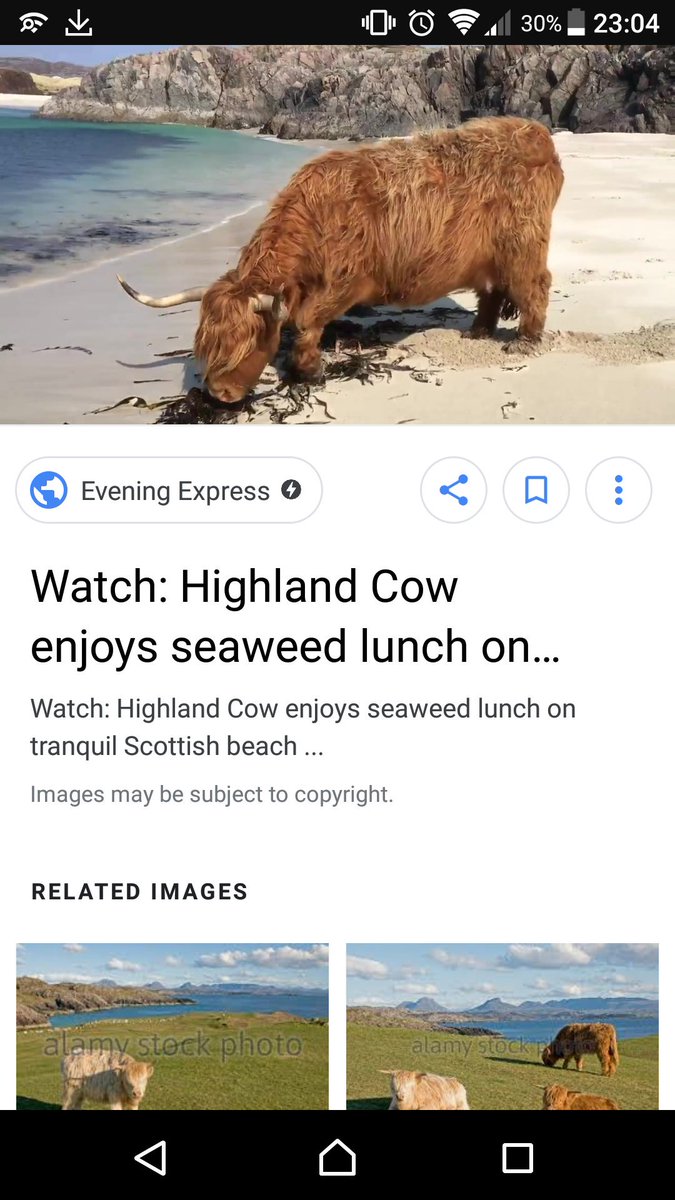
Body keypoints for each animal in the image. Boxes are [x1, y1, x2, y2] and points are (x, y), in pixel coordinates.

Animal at [118, 116, 564, 403]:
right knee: (491, 291)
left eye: (246, 345)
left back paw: (524, 342)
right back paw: (478, 333)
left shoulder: (348, 281)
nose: (220, 395)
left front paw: (309, 370)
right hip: (489, 256)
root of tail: (535, 131)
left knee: (533, 286)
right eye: (207, 345)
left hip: (523, 244)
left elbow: (304, 322)